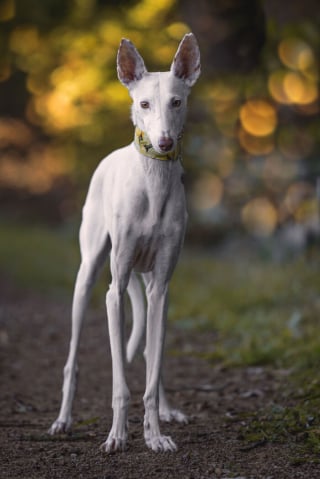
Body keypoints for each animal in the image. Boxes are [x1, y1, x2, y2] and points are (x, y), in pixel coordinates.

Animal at [48, 32, 200, 454]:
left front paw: (155, 434)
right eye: (144, 103)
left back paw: (165, 411)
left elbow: (151, 368)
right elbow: (120, 383)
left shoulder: (162, 288)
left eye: (176, 102)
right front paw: (117, 435)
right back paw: (63, 419)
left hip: (146, 282)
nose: (164, 143)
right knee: (72, 360)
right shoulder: (113, 294)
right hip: (90, 276)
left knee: (150, 353)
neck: (154, 184)